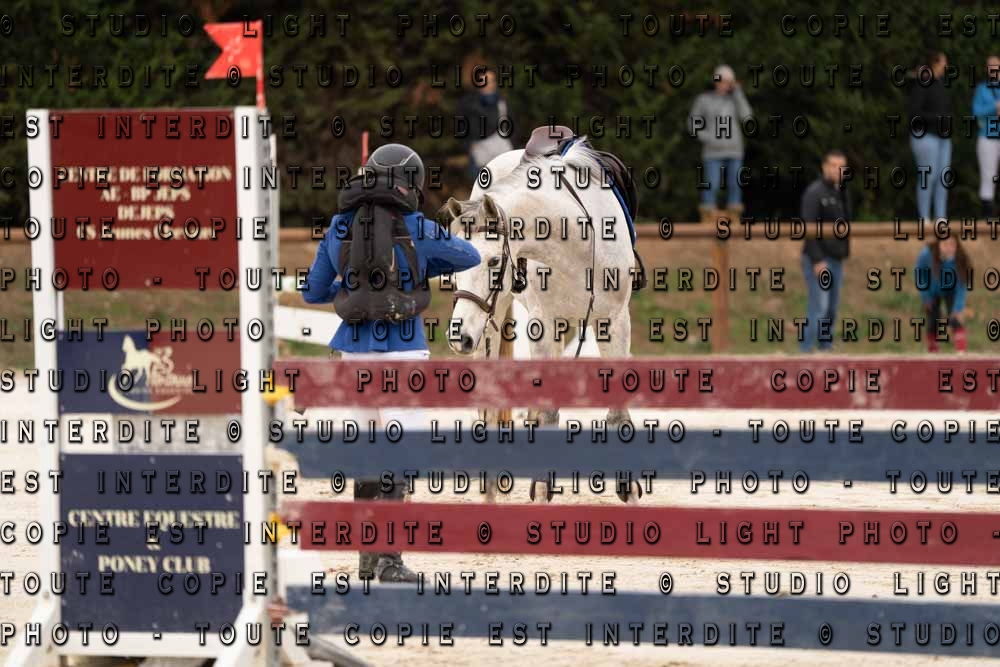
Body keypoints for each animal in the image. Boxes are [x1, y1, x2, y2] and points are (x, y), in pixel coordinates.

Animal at [439, 138, 641, 503]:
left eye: (493, 262)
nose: (459, 338)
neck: (577, 244)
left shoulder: (614, 323)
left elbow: (618, 413)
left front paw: (627, 490)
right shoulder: (542, 326)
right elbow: (547, 413)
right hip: (492, 325)